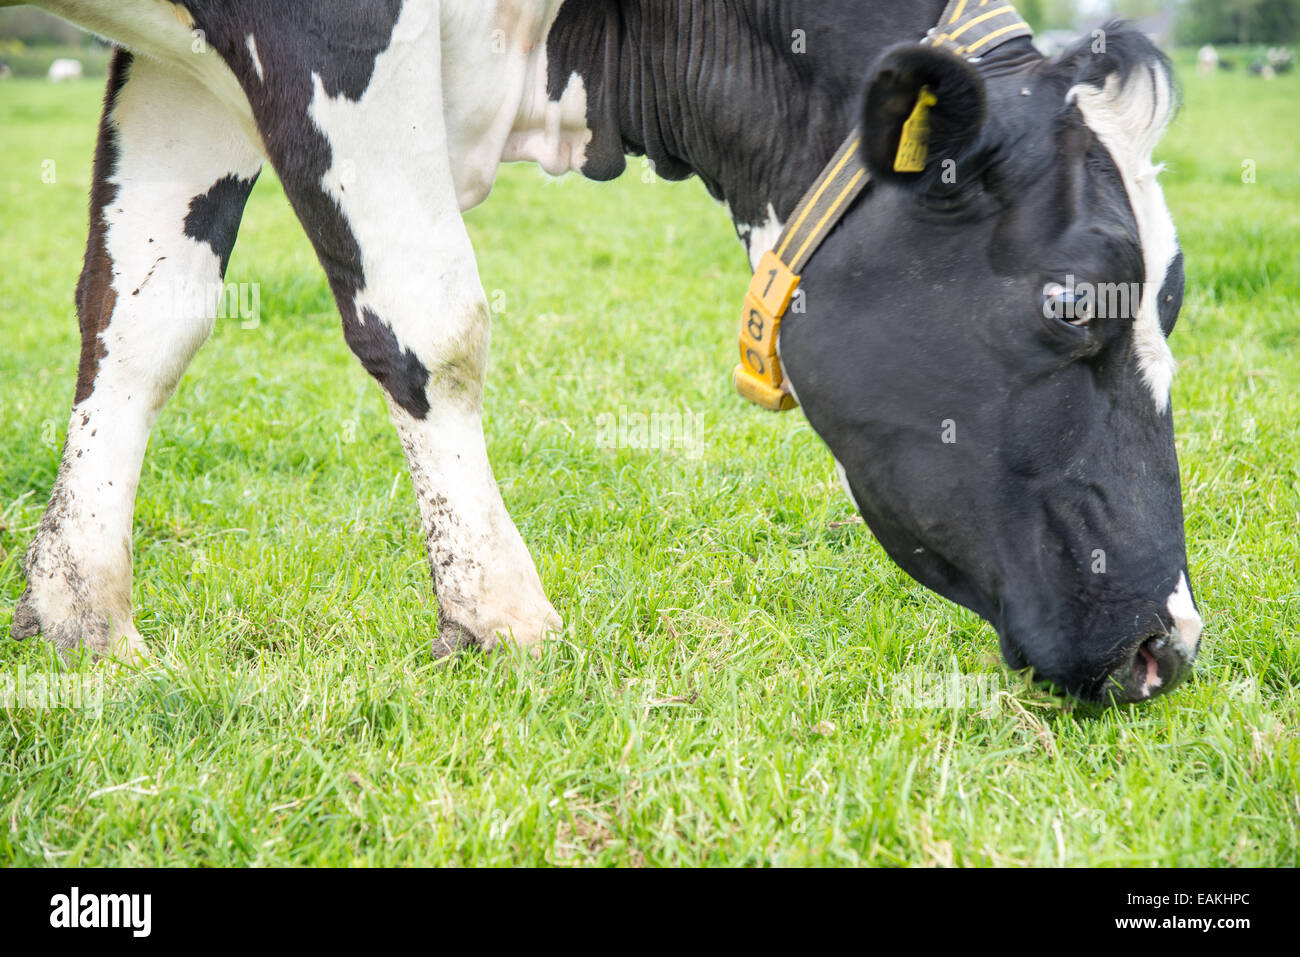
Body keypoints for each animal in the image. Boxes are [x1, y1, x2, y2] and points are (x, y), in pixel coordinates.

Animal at [9, 0, 1202, 704]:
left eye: (1173, 301)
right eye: (1072, 302)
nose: (1173, 642)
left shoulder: (183, 72)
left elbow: (143, 320)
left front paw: (80, 618)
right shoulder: (328, 36)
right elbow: (433, 321)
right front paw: (499, 620)